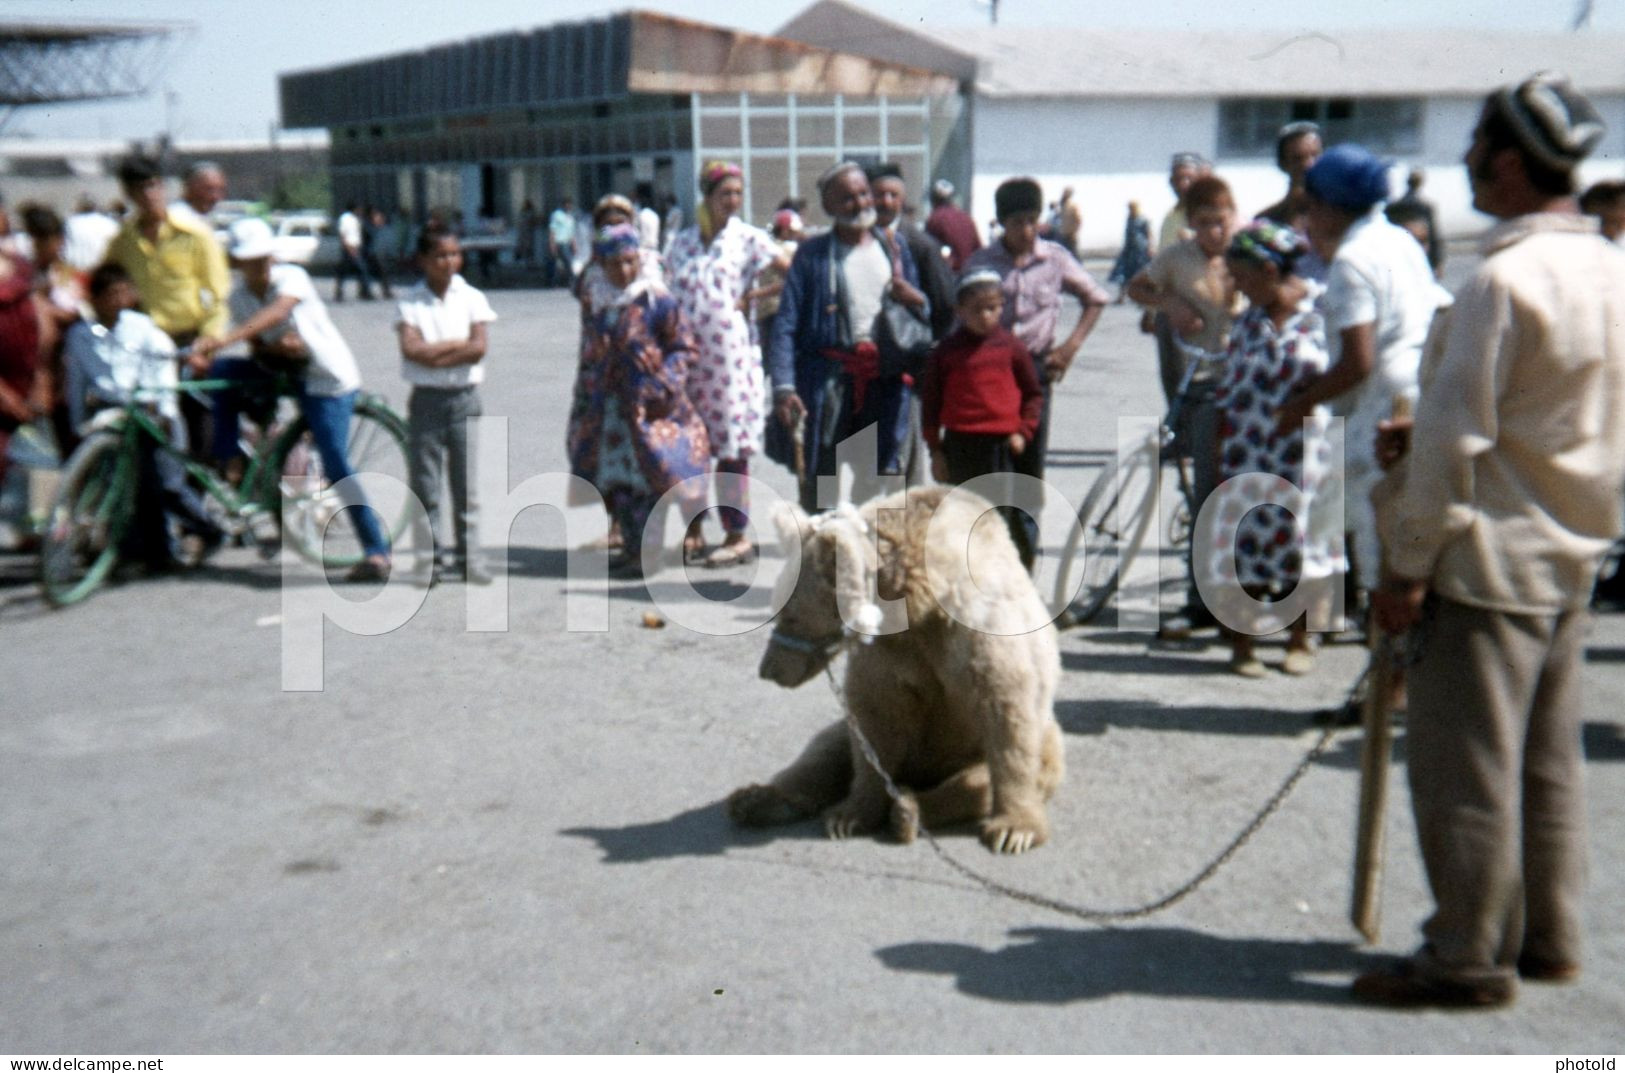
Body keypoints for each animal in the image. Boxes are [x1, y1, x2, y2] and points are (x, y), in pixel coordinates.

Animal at [728, 487, 1066, 851]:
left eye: (789, 614)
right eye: (776, 609)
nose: (768, 669)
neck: (916, 601)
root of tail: (918, 773)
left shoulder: (976, 629)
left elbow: (1006, 711)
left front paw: (1013, 831)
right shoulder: (889, 652)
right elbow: (875, 717)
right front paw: (849, 815)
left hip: (1029, 746)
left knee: (979, 783)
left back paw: (908, 811)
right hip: (853, 736)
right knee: (823, 753)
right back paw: (756, 800)